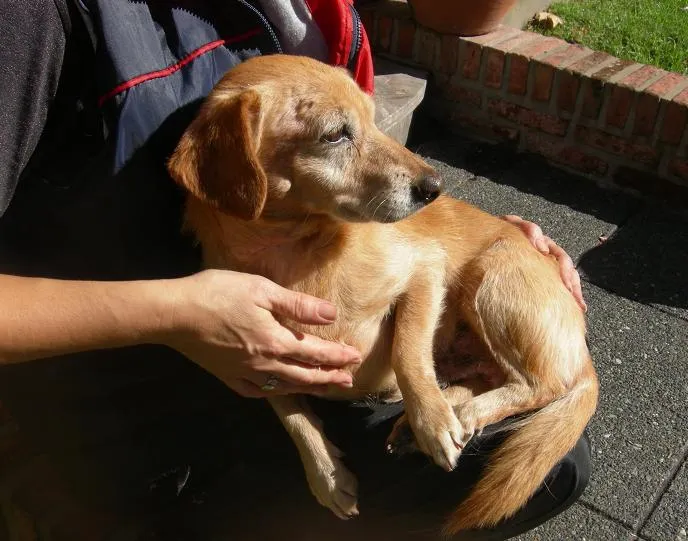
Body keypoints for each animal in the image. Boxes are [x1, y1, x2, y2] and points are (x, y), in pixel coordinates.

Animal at [167, 52, 596, 532]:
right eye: (335, 134)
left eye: (374, 121)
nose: (434, 187)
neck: (297, 255)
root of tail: (582, 351)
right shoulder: (255, 360)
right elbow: (291, 413)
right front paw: (327, 476)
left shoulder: (424, 269)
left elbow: (407, 352)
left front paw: (430, 421)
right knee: (493, 377)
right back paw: (444, 411)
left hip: (491, 276)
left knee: (541, 385)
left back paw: (453, 415)